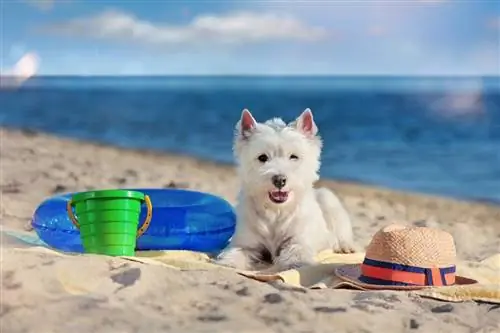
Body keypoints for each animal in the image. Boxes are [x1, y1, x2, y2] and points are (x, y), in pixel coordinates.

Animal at [215, 107, 356, 272]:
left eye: (294, 156)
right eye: (262, 157)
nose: (279, 180)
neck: (276, 211)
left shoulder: (298, 241)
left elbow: (296, 252)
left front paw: (295, 264)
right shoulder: (246, 243)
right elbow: (236, 251)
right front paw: (228, 263)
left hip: (328, 200)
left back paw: (345, 247)